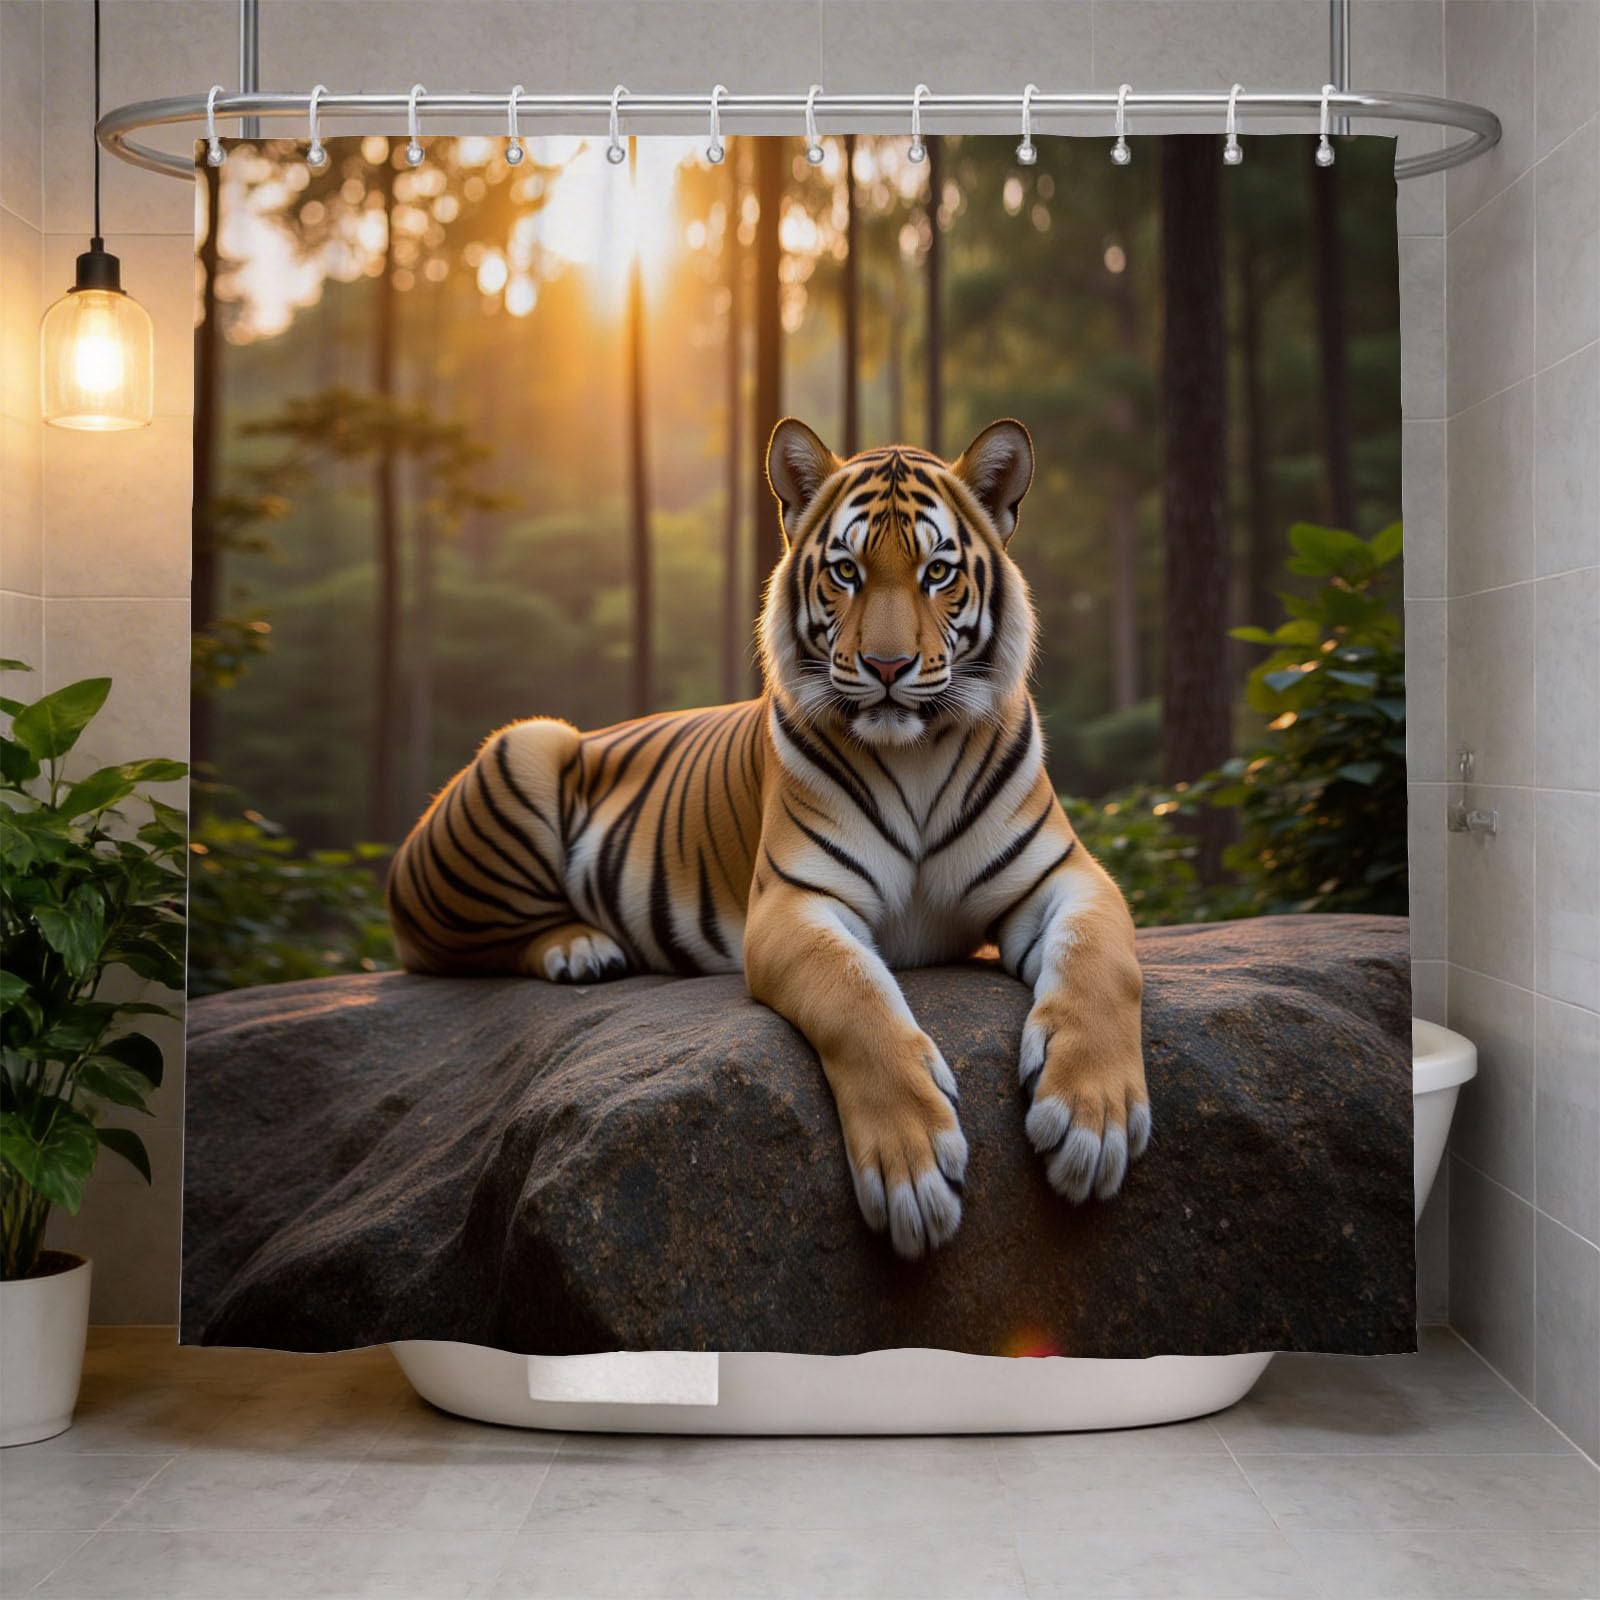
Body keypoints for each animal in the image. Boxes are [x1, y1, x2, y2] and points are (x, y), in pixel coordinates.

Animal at [388, 417, 1149, 1260]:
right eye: (847, 571)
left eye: (937, 572)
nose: (888, 666)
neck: (914, 754)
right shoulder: (795, 903)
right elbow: (857, 1000)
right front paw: (914, 1172)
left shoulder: (1066, 877)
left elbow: (1103, 965)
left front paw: (1092, 1119)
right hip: (527, 746)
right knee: (449, 948)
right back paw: (579, 949)